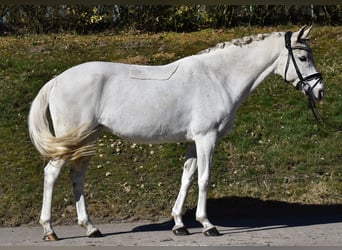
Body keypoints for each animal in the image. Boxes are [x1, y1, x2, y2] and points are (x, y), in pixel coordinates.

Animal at [28, 25, 324, 240]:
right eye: (302, 57)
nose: (319, 90)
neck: (218, 77)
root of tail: (57, 80)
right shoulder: (206, 138)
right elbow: (204, 179)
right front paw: (207, 225)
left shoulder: (193, 141)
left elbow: (187, 178)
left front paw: (180, 224)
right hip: (72, 141)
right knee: (51, 174)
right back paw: (49, 230)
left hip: (87, 140)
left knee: (77, 177)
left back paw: (90, 228)